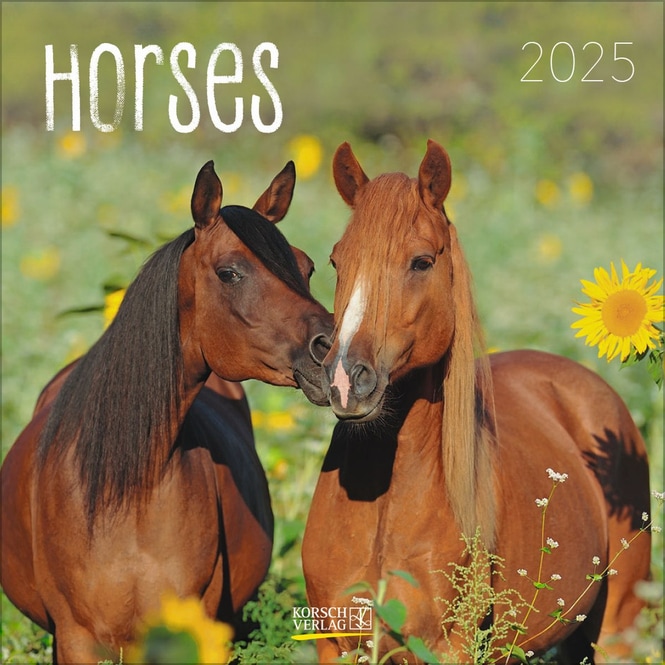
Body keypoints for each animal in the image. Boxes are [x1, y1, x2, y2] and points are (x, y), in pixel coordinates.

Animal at [302, 140, 651, 663]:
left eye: (421, 262)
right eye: (336, 261)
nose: (345, 379)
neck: (383, 512)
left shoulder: (452, 648)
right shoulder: (335, 643)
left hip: (619, 627)